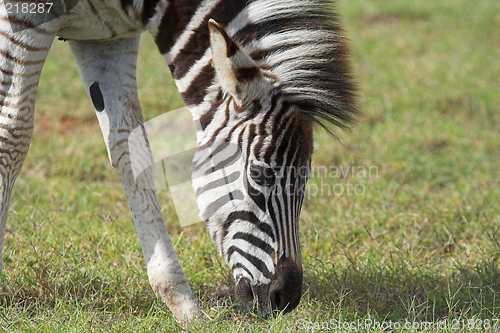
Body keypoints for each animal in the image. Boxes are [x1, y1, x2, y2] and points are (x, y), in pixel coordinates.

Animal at [1, 0, 358, 324]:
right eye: (259, 174)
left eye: (306, 180)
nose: (286, 298)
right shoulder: (22, 18)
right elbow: (12, 135)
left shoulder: (105, 38)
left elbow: (131, 147)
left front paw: (184, 306)